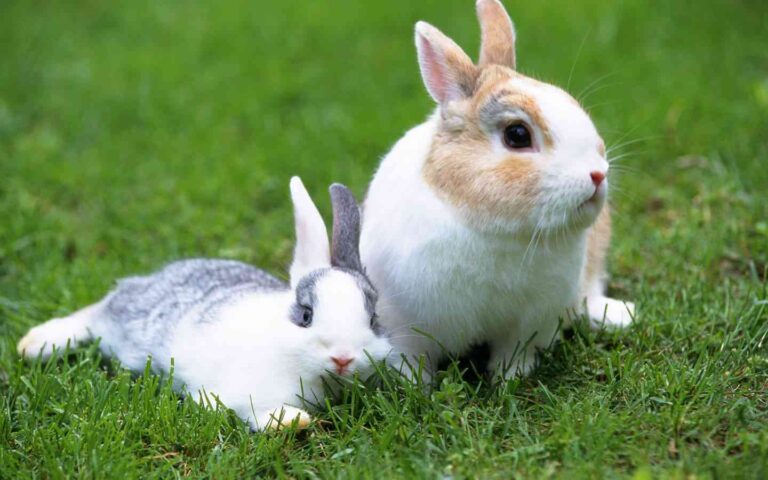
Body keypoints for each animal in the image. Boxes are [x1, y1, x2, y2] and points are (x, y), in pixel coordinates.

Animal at [17, 177, 391, 431]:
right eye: (305, 315)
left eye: (374, 320)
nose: (342, 357)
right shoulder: (243, 391)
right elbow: (252, 408)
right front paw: (292, 420)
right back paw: (34, 344)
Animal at [359, 0, 635, 380]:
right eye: (517, 135)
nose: (597, 174)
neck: (497, 231)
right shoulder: (404, 324)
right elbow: (412, 363)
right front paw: (416, 387)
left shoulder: (531, 322)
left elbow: (515, 355)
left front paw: (508, 380)